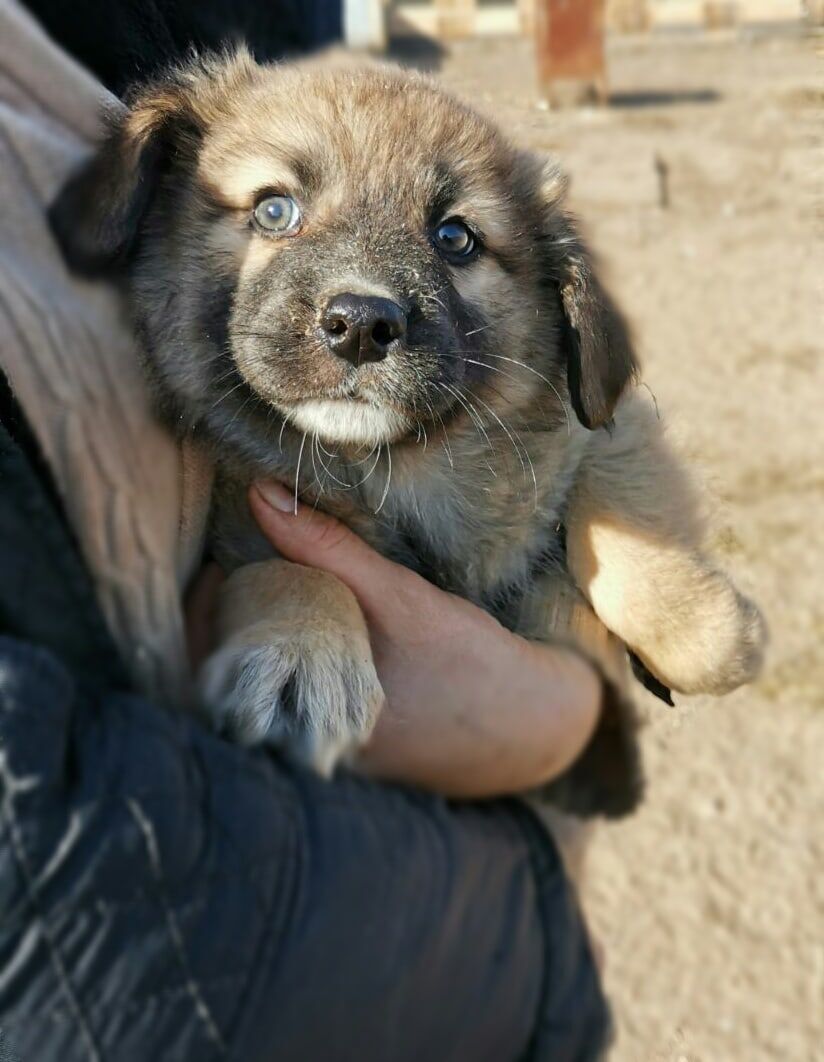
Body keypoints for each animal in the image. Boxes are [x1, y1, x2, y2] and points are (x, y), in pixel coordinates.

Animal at [50, 49, 766, 815]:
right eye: (275, 209)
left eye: (455, 238)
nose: (362, 324)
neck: (393, 469)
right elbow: (286, 562)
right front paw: (304, 650)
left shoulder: (609, 425)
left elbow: (628, 532)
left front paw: (714, 636)